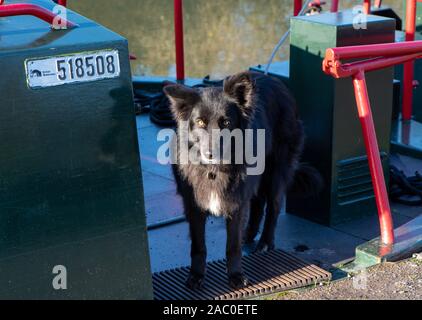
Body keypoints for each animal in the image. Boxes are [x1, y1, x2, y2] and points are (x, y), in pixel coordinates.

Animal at [163, 70, 318, 290]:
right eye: (200, 122)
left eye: (226, 123)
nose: (211, 154)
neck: (214, 170)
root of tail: (277, 81)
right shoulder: (193, 205)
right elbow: (198, 246)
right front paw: (196, 275)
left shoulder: (236, 202)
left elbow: (233, 246)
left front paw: (236, 276)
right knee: (258, 203)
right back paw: (249, 234)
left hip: (276, 172)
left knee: (273, 207)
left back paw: (264, 243)